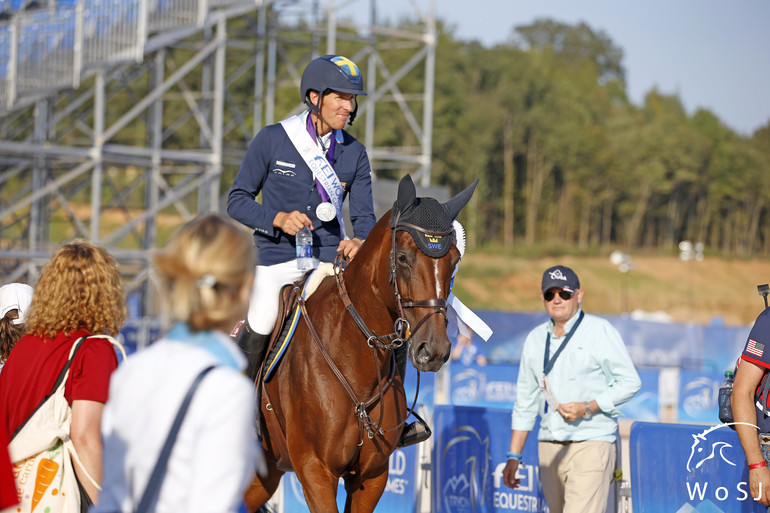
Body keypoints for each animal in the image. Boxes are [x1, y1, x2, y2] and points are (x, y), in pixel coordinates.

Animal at [244, 174, 474, 510]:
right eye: (402, 257)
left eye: (454, 260)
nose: (434, 350)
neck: (352, 356)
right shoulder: (315, 470)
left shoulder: (372, 476)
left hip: (265, 472)